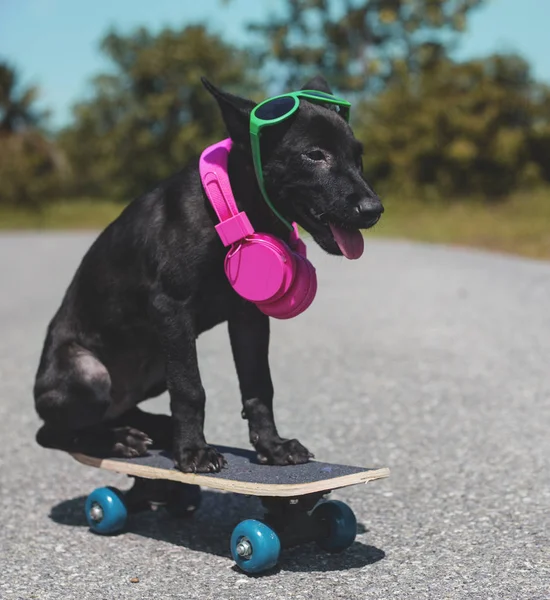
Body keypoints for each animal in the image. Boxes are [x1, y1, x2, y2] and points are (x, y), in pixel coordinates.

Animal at [33, 75, 384, 472]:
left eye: (358, 157)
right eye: (314, 155)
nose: (374, 210)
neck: (231, 210)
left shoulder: (249, 317)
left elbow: (259, 384)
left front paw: (273, 445)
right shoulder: (171, 308)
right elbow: (190, 388)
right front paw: (194, 451)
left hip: (156, 366)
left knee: (120, 409)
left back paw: (154, 427)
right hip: (90, 374)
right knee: (56, 431)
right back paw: (120, 439)